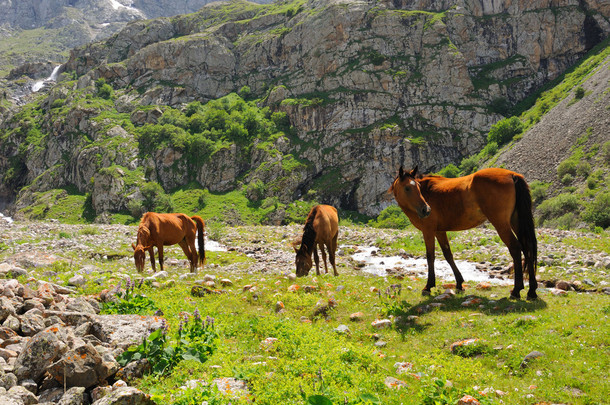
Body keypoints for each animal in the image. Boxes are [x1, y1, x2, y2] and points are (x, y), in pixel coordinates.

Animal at [390, 166, 536, 298]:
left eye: (418, 187)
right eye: (407, 188)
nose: (426, 210)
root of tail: (512, 175)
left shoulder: (428, 230)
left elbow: (430, 256)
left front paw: (428, 286)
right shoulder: (440, 231)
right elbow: (448, 255)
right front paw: (459, 283)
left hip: (501, 224)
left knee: (515, 248)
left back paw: (516, 290)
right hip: (516, 221)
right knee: (527, 247)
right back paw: (532, 291)